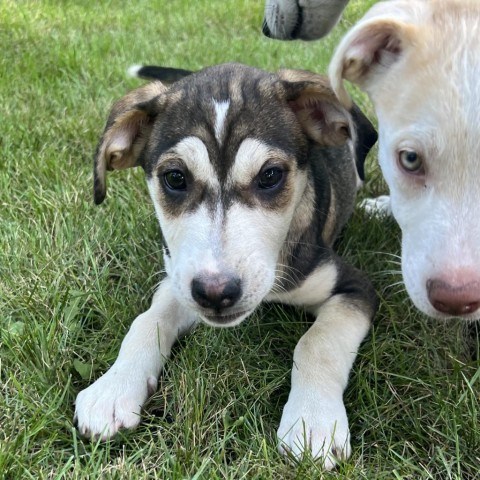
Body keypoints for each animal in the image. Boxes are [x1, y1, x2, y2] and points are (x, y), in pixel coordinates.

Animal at [73, 62, 376, 468]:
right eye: (175, 178)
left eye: (270, 175)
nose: (216, 293)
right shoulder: (177, 277)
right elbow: (146, 322)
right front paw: (113, 387)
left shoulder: (353, 286)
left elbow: (318, 342)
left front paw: (313, 421)